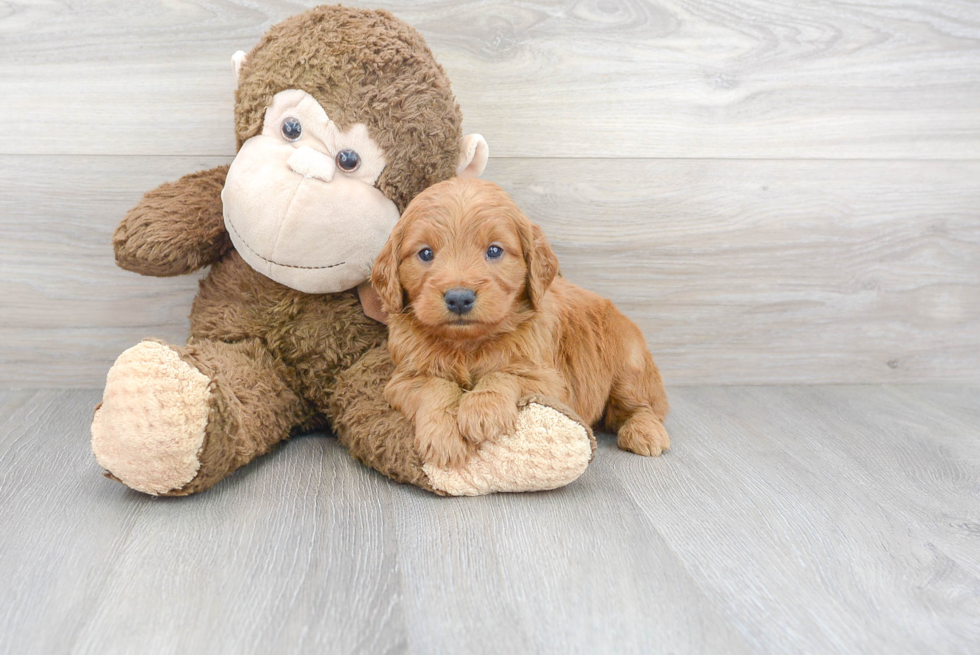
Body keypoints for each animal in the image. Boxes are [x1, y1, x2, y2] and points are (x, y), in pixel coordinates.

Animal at [372, 177, 668, 468]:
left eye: (494, 250)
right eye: (425, 254)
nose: (459, 298)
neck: (468, 345)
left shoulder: (551, 383)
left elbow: (502, 374)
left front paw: (483, 410)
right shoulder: (403, 379)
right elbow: (435, 386)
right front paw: (444, 437)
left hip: (628, 366)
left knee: (644, 407)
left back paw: (645, 432)